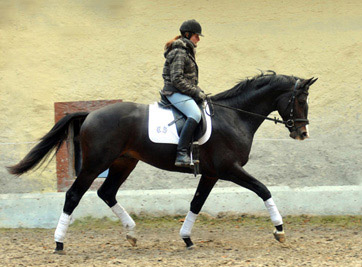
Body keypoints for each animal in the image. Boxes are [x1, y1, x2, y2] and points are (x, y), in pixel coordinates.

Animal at [6, 73, 316, 253]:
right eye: (300, 100)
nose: (303, 133)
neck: (234, 116)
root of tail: (91, 114)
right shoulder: (229, 170)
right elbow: (263, 190)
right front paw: (280, 231)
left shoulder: (211, 174)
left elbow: (196, 203)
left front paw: (187, 238)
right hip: (95, 164)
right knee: (74, 195)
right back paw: (59, 243)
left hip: (124, 163)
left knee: (106, 192)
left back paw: (131, 235)